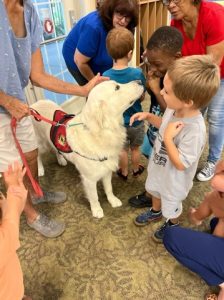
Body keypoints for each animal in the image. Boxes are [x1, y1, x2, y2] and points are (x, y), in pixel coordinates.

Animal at [31, 81, 144, 218]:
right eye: (117, 87)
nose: (139, 81)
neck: (104, 132)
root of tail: (33, 105)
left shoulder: (106, 169)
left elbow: (109, 188)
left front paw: (113, 200)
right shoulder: (89, 179)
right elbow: (94, 196)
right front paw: (96, 210)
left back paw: (61, 160)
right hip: (40, 143)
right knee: (37, 155)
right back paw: (40, 169)